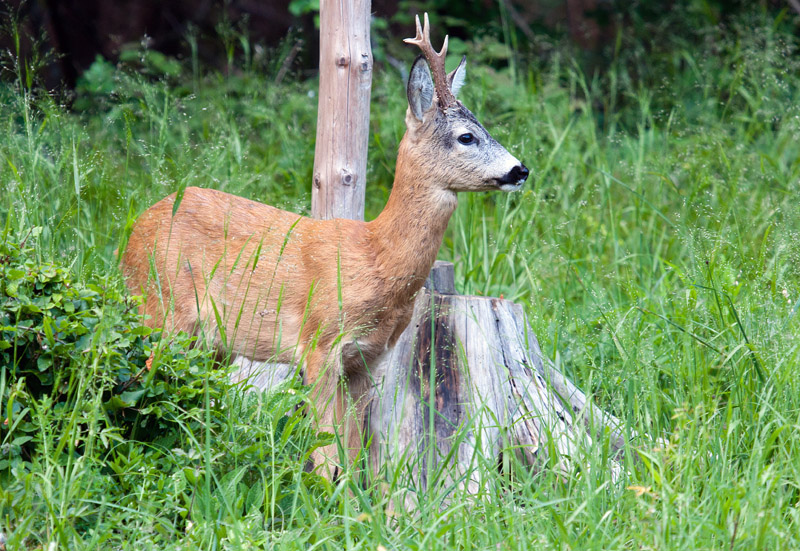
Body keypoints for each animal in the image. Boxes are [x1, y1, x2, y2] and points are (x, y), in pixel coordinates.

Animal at [122, 14, 528, 478]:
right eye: (466, 137)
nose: (520, 170)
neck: (377, 258)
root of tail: (133, 233)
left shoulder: (369, 358)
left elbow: (356, 450)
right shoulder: (317, 344)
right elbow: (325, 452)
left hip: (212, 342)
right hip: (161, 310)